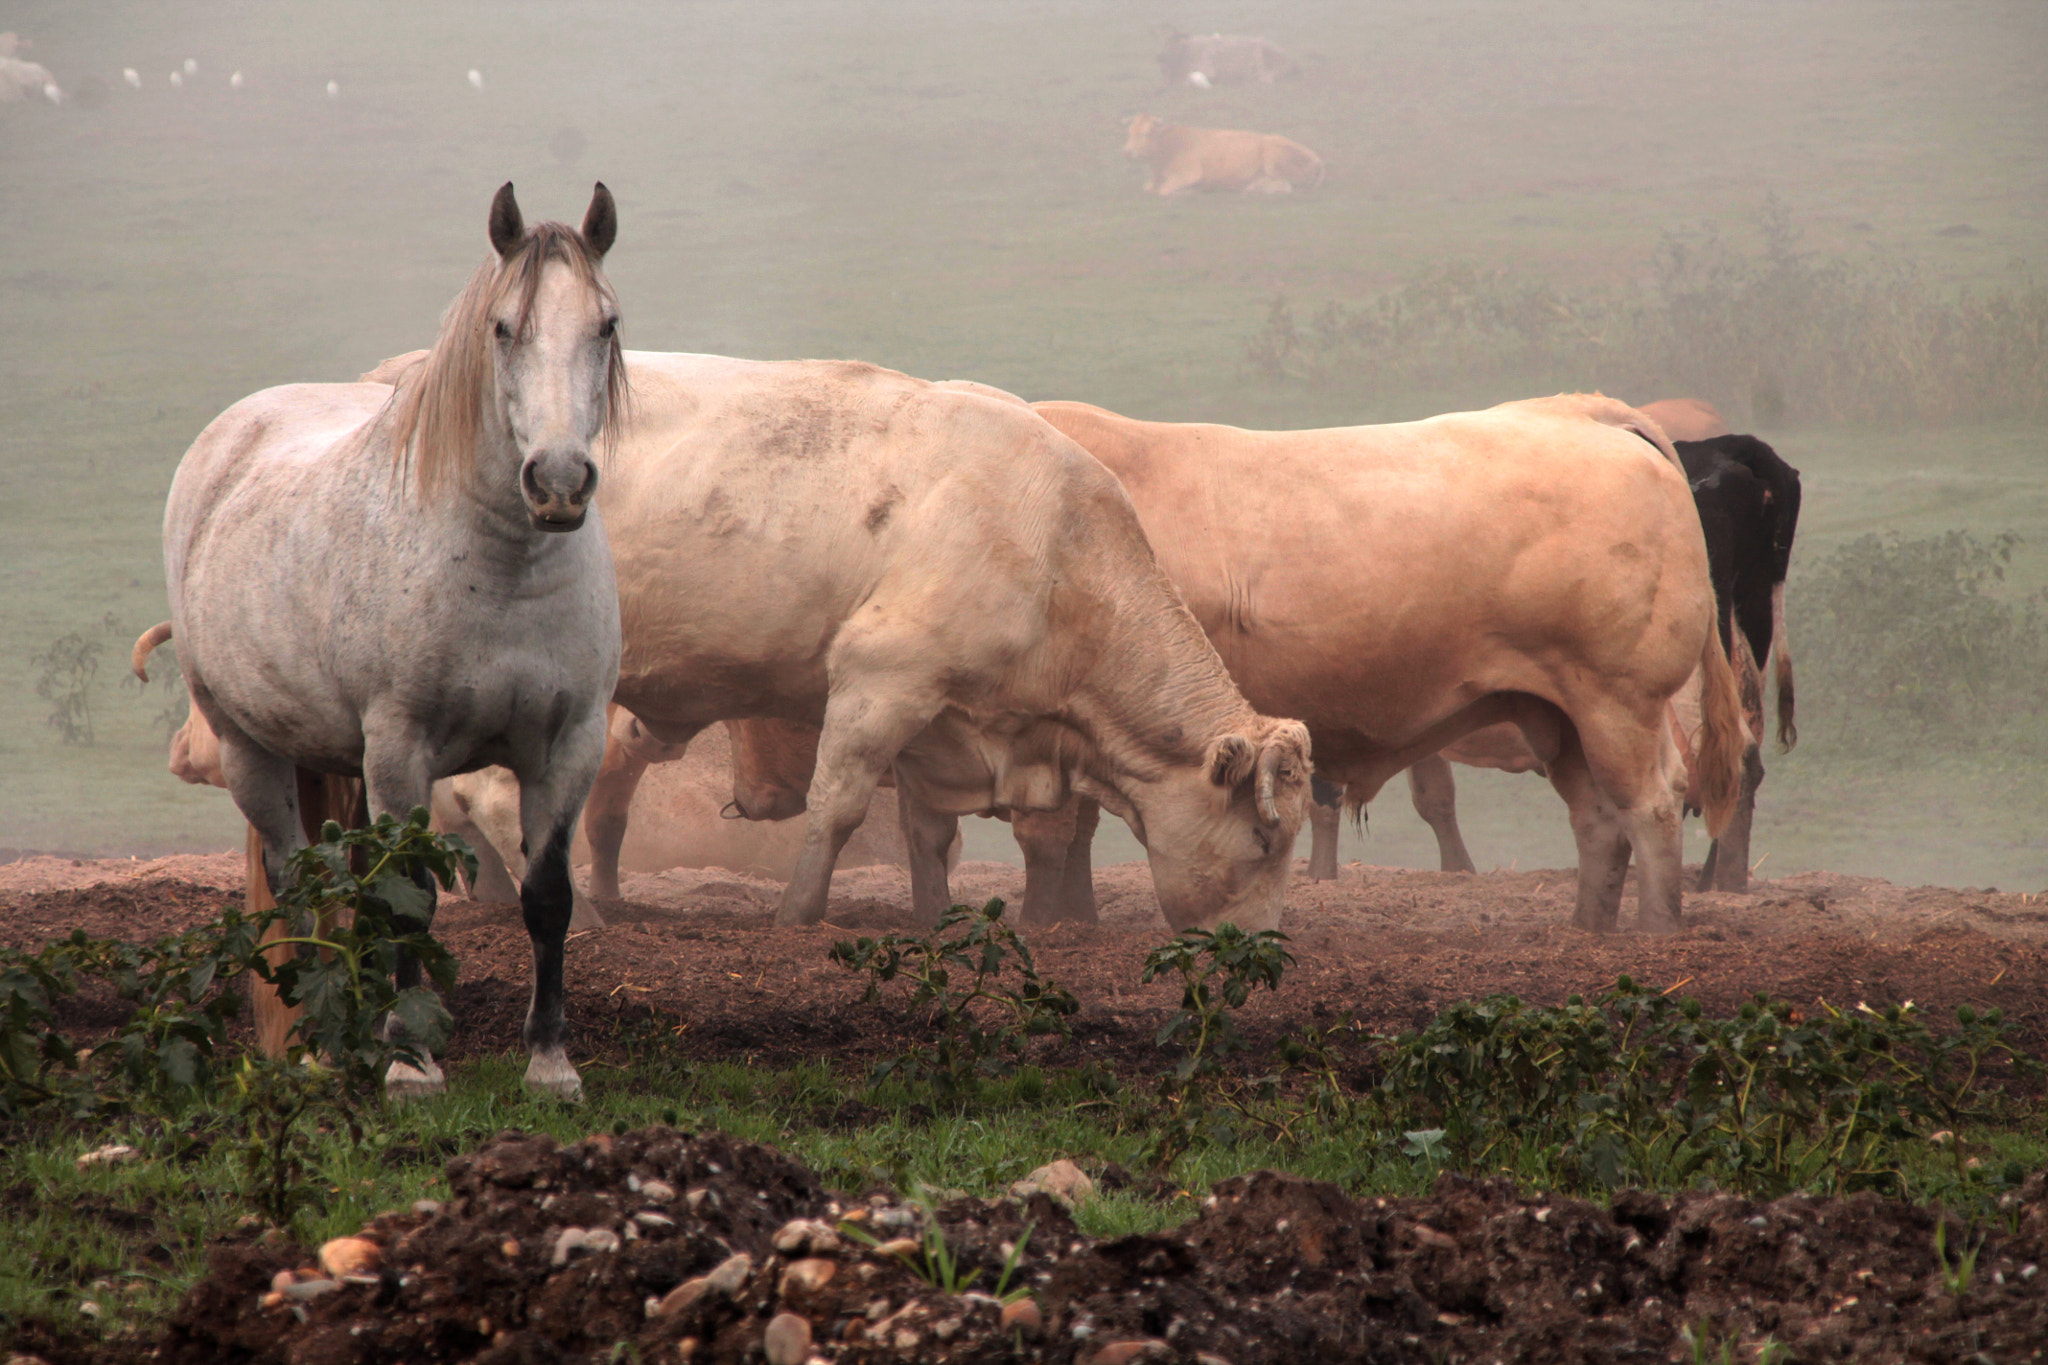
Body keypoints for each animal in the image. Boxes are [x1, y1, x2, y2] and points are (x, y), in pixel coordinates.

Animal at [161, 182, 625, 1098]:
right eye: (503, 328)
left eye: (606, 324)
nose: (558, 482)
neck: (505, 571)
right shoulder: (402, 747)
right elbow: (410, 895)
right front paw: (412, 1064)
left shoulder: (570, 746)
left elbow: (547, 898)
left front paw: (550, 1062)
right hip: (249, 750)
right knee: (298, 881)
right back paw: (312, 1042)